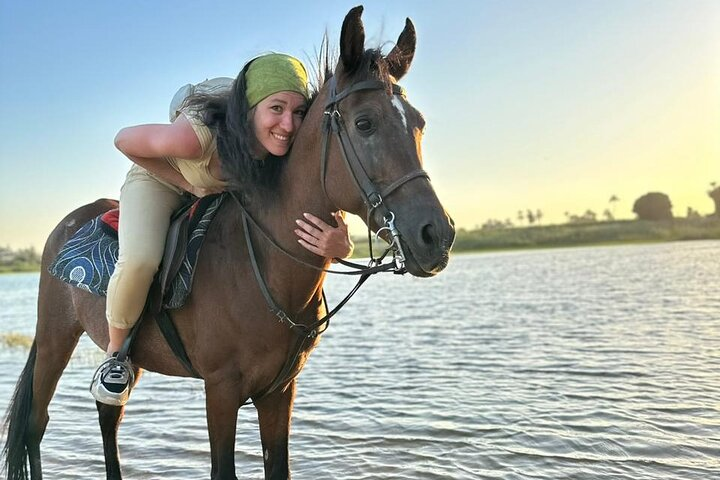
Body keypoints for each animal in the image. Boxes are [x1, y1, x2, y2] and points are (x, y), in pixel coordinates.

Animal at [2, 6, 455, 480]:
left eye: (420, 124)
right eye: (365, 123)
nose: (436, 234)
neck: (264, 266)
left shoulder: (279, 392)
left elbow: (279, 467)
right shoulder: (220, 390)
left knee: (108, 414)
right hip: (55, 336)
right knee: (35, 423)